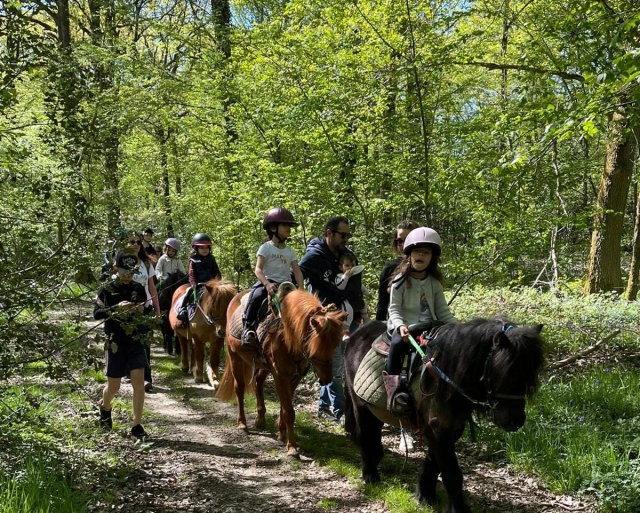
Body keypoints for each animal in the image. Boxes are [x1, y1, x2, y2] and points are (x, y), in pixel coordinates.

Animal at [216, 288, 347, 459]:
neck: (288, 337)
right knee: (239, 389)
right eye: (315, 347)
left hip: (263, 365)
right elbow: (289, 411)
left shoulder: (295, 377)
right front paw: (292, 449)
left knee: (258, 381)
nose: (326, 379)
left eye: (334, 346)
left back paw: (260, 419)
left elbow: (285, 407)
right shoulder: (280, 375)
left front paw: (281, 434)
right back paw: (242, 424)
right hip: (235, 357)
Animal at [343, 319, 545, 513]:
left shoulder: (451, 428)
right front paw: (457, 508)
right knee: (364, 435)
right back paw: (370, 475)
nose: (515, 421)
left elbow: (434, 464)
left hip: (374, 409)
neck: (447, 377)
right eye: (505, 372)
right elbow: (451, 472)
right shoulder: (437, 428)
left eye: (530, 374)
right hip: (360, 404)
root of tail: (356, 335)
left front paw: (425, 496)